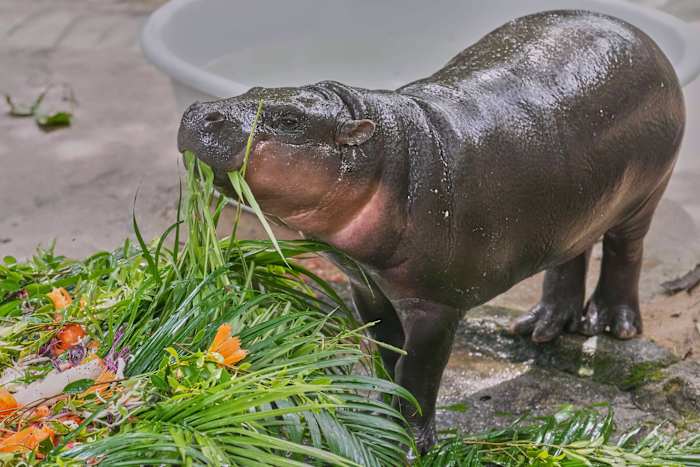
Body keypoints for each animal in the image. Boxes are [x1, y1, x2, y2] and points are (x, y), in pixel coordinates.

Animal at [177, 10, 685, 451]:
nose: (199, 111)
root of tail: (638, 33)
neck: (388, 153)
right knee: (571, 253)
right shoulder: (365, 286)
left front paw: (407, 445)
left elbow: (419, 373)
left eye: (289, 120)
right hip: (576, 207)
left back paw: (612, 324)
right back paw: (539, 329)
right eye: (254, 87)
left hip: (645, 194)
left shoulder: (436, 306)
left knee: (624, 250)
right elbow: (386, 355)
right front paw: (379, 419)